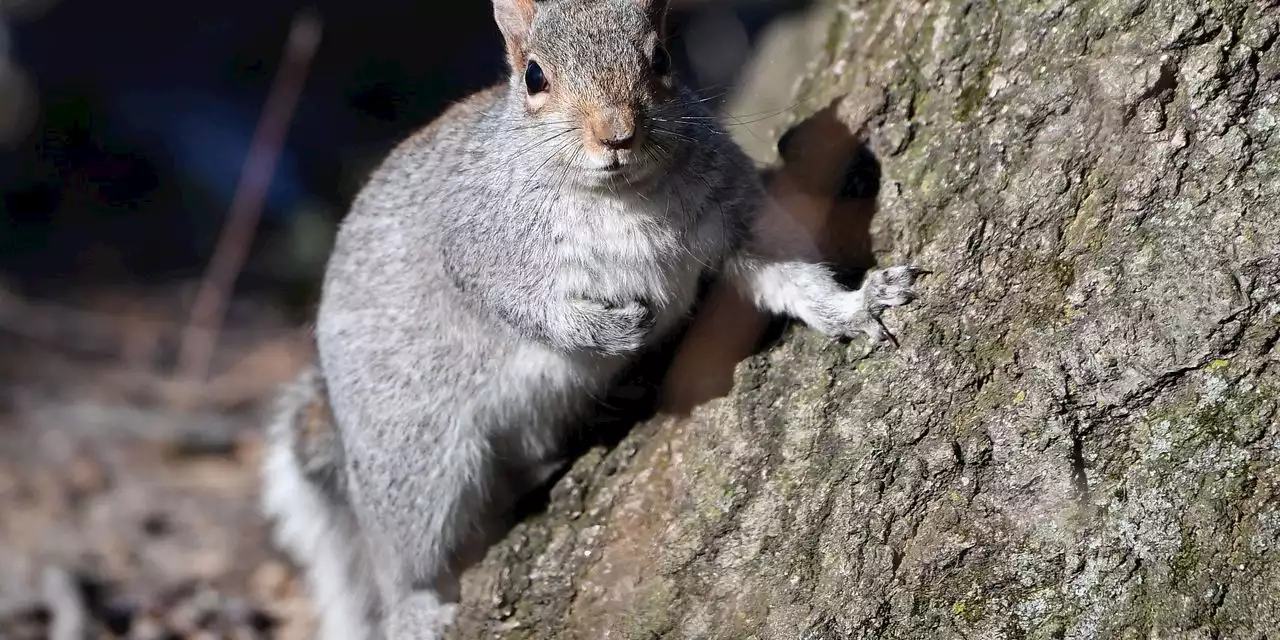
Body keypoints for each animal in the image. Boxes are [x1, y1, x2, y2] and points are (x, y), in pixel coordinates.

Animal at [257, 1, 921, 640]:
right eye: (534, 77)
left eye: (661, 59)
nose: (616, 133)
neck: (620, 195)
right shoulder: (479, 245)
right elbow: (516, 302)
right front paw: (610, 330)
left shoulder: (733, 215)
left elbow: (785, 275)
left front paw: (854, 305)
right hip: (414, 452)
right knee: (399, 555)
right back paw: (415, 610)